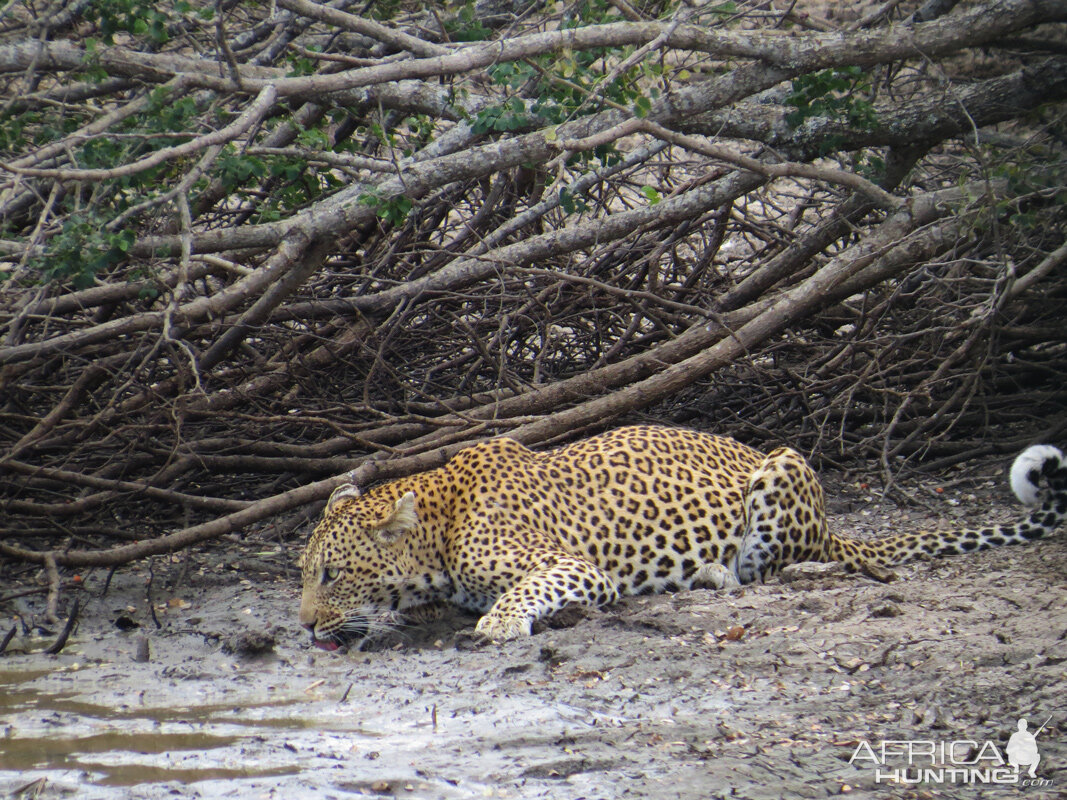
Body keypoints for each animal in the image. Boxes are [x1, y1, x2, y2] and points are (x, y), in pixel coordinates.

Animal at [298, 428, 1067, 648]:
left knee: (785, 566)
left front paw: (499, 623)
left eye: (332, 574)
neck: (440, 525)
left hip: (784, 470)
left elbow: (523, 589)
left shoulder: (576, 566)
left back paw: (726, 573)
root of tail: (835, 525)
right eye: (304, 574)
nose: (303, 625)